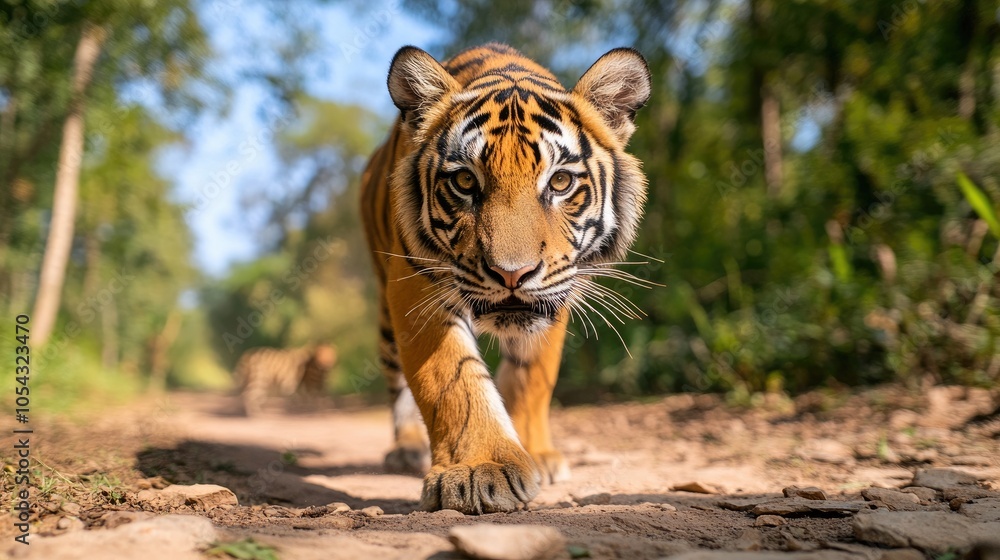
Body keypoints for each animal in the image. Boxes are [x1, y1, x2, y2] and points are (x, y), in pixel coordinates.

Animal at [360, 43, 651, 514]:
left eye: (561, 181)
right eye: (464, 180)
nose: (511, 273)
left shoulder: (557, 290)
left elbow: (533, 377)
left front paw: (536, 453)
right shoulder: (415, 284)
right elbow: (450, 380)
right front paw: (480, 470)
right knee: (396, 382)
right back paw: (406, 449)